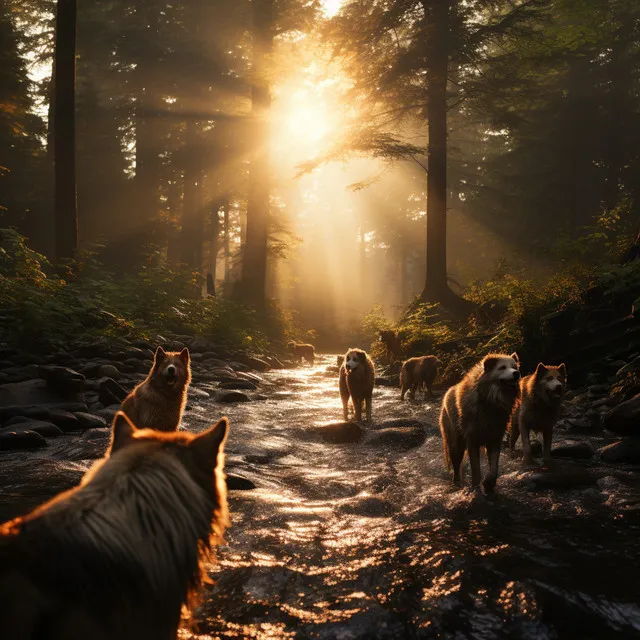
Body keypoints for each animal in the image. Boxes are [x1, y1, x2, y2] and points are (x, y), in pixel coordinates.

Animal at [438, 352, 524, 492]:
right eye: (502, 367)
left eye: (514, 367)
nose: (517, 373)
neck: (490, 401)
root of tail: (447, 392)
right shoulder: (472, 440)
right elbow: (476, 467)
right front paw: (475, 487)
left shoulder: (495, 438)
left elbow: (494, 466)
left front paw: (489, 483)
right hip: (456, 444)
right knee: (456, 464)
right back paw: (457, 483)